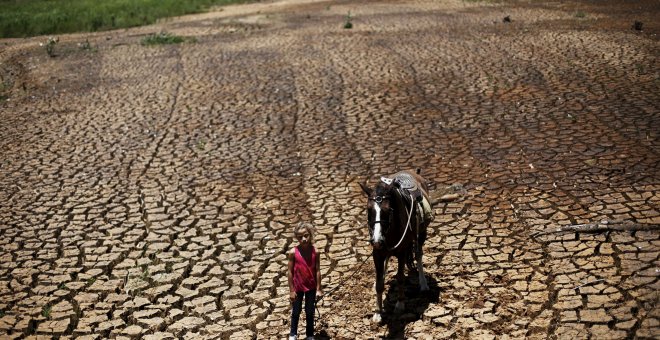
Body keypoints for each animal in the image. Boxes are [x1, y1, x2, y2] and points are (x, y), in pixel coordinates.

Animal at [360, 169, 434, 322]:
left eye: (388, 210)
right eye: (369, 210)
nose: (376, 240)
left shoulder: (402, 252)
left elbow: (400, 278)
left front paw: (400, 304)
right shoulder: (377, 253)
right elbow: (379, 284)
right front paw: (378, 312)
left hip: (421, 234)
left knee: (418, 255)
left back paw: (423, 283)